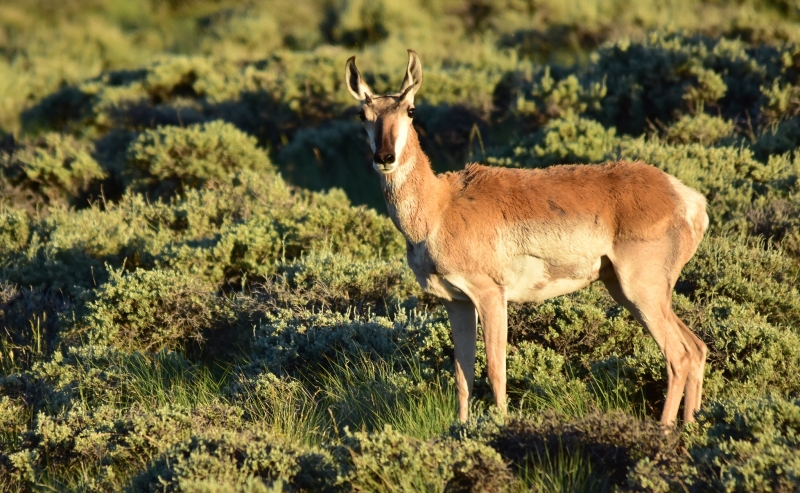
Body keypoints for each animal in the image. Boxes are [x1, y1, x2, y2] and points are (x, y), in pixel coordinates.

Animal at [346, 51, 708, 426]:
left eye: (411, 109)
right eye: (362, 114)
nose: (384, 158)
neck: (441, 205)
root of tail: (685, 197)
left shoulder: (491, 295)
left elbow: (495, 370)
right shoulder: (456, 302)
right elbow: (463, 376)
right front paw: (461, 429)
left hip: (642, 291)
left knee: (679, 355)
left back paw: (664, 430)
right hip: (626, 291)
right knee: (697, 349)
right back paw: (692, 425)